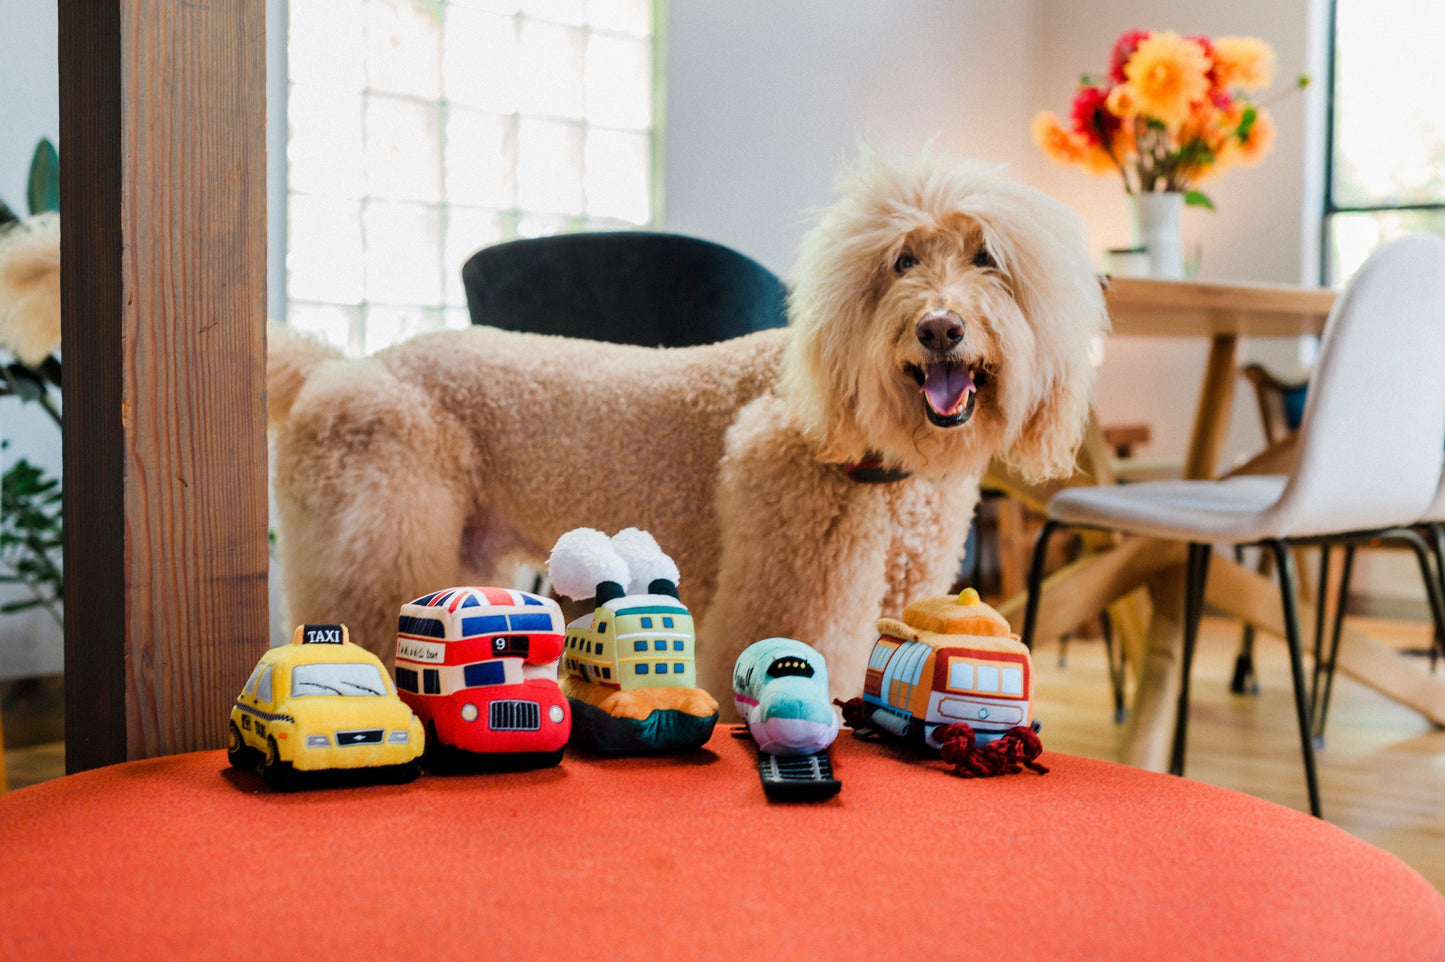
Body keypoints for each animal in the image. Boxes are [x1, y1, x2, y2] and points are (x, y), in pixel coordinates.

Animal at [268, 153, 1103, 707]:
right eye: (900, 261)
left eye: (986, 257)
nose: (938, 329)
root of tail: (333, 368)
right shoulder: (793, 584)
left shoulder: (902, 581)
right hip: (374, 537)